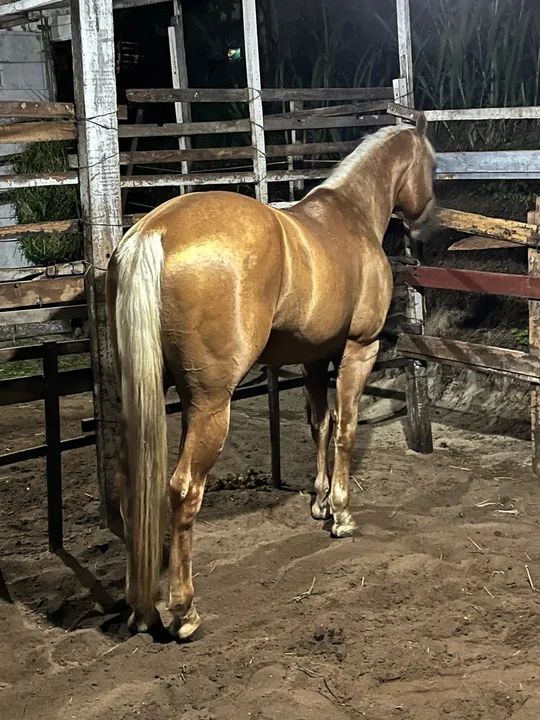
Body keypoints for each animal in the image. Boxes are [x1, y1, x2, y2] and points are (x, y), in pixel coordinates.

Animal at [106, 113, 437, 640]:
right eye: (433, 164)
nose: (427, 224)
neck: (353, 216)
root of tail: (151, 232)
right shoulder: (358, 350)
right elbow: (345, 429)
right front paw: (342, 514)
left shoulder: (314, 359)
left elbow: (320, 425)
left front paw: (320, 502)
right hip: (210, 404)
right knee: (183, 489)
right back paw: (184, 611)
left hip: (146, 396)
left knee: (129, 481)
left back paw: (141, 608)